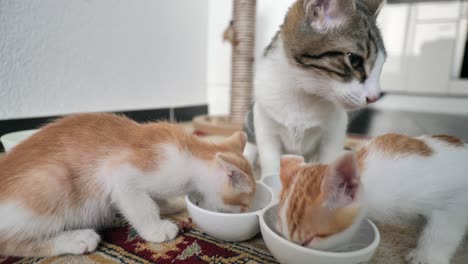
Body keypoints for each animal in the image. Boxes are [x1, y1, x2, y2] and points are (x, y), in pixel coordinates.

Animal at [0, 114, 256, 258]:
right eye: (244, 206)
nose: (248, 211)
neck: (190, 153)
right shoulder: (121, 172)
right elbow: (143, 206)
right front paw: (156, 229)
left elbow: (156, 199)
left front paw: (171, 204)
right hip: (54, 179)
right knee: (9, 244)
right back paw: (76, 239)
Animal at [243, 0, 386, 177]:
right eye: (355, 61)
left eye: (381, 66)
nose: (374, 97)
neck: (303, 95)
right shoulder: (266, 127)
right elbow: (271, 162)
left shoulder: (334, 133)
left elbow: (328, 161)